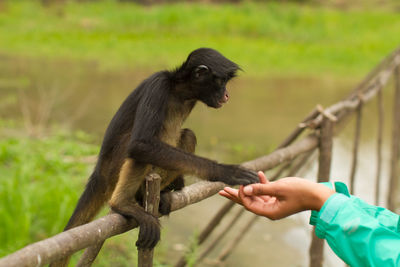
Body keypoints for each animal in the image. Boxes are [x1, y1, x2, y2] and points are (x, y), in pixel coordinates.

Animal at [50, 48, 256, 267]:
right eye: (221, 81)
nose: (226, 95)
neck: (179, 91)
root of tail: (99, 172)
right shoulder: (158, 85)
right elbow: (140, 144)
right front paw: (226, 171)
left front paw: (178, 184)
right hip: (114, 170)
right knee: (136, 147)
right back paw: (122, 203)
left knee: (188, 135)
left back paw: (159, 194)